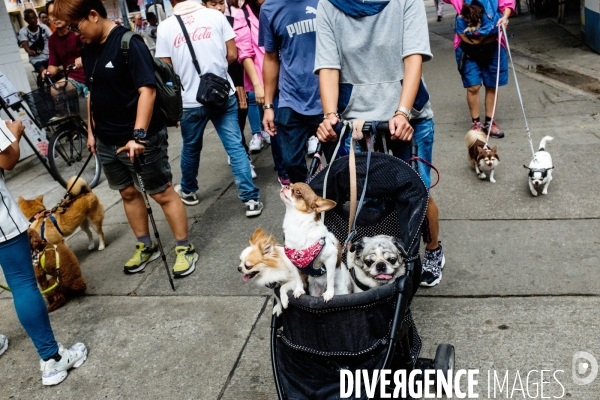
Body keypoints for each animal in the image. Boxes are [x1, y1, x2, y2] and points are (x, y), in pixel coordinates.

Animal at [268, 122, 454, 400]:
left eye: (298, 192)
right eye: (293, 186)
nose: (286, 186)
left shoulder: (330, 260)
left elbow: (329, 280)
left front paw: (327, 294)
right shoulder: (294, 263)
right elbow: (294, 282)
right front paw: (290, 296)